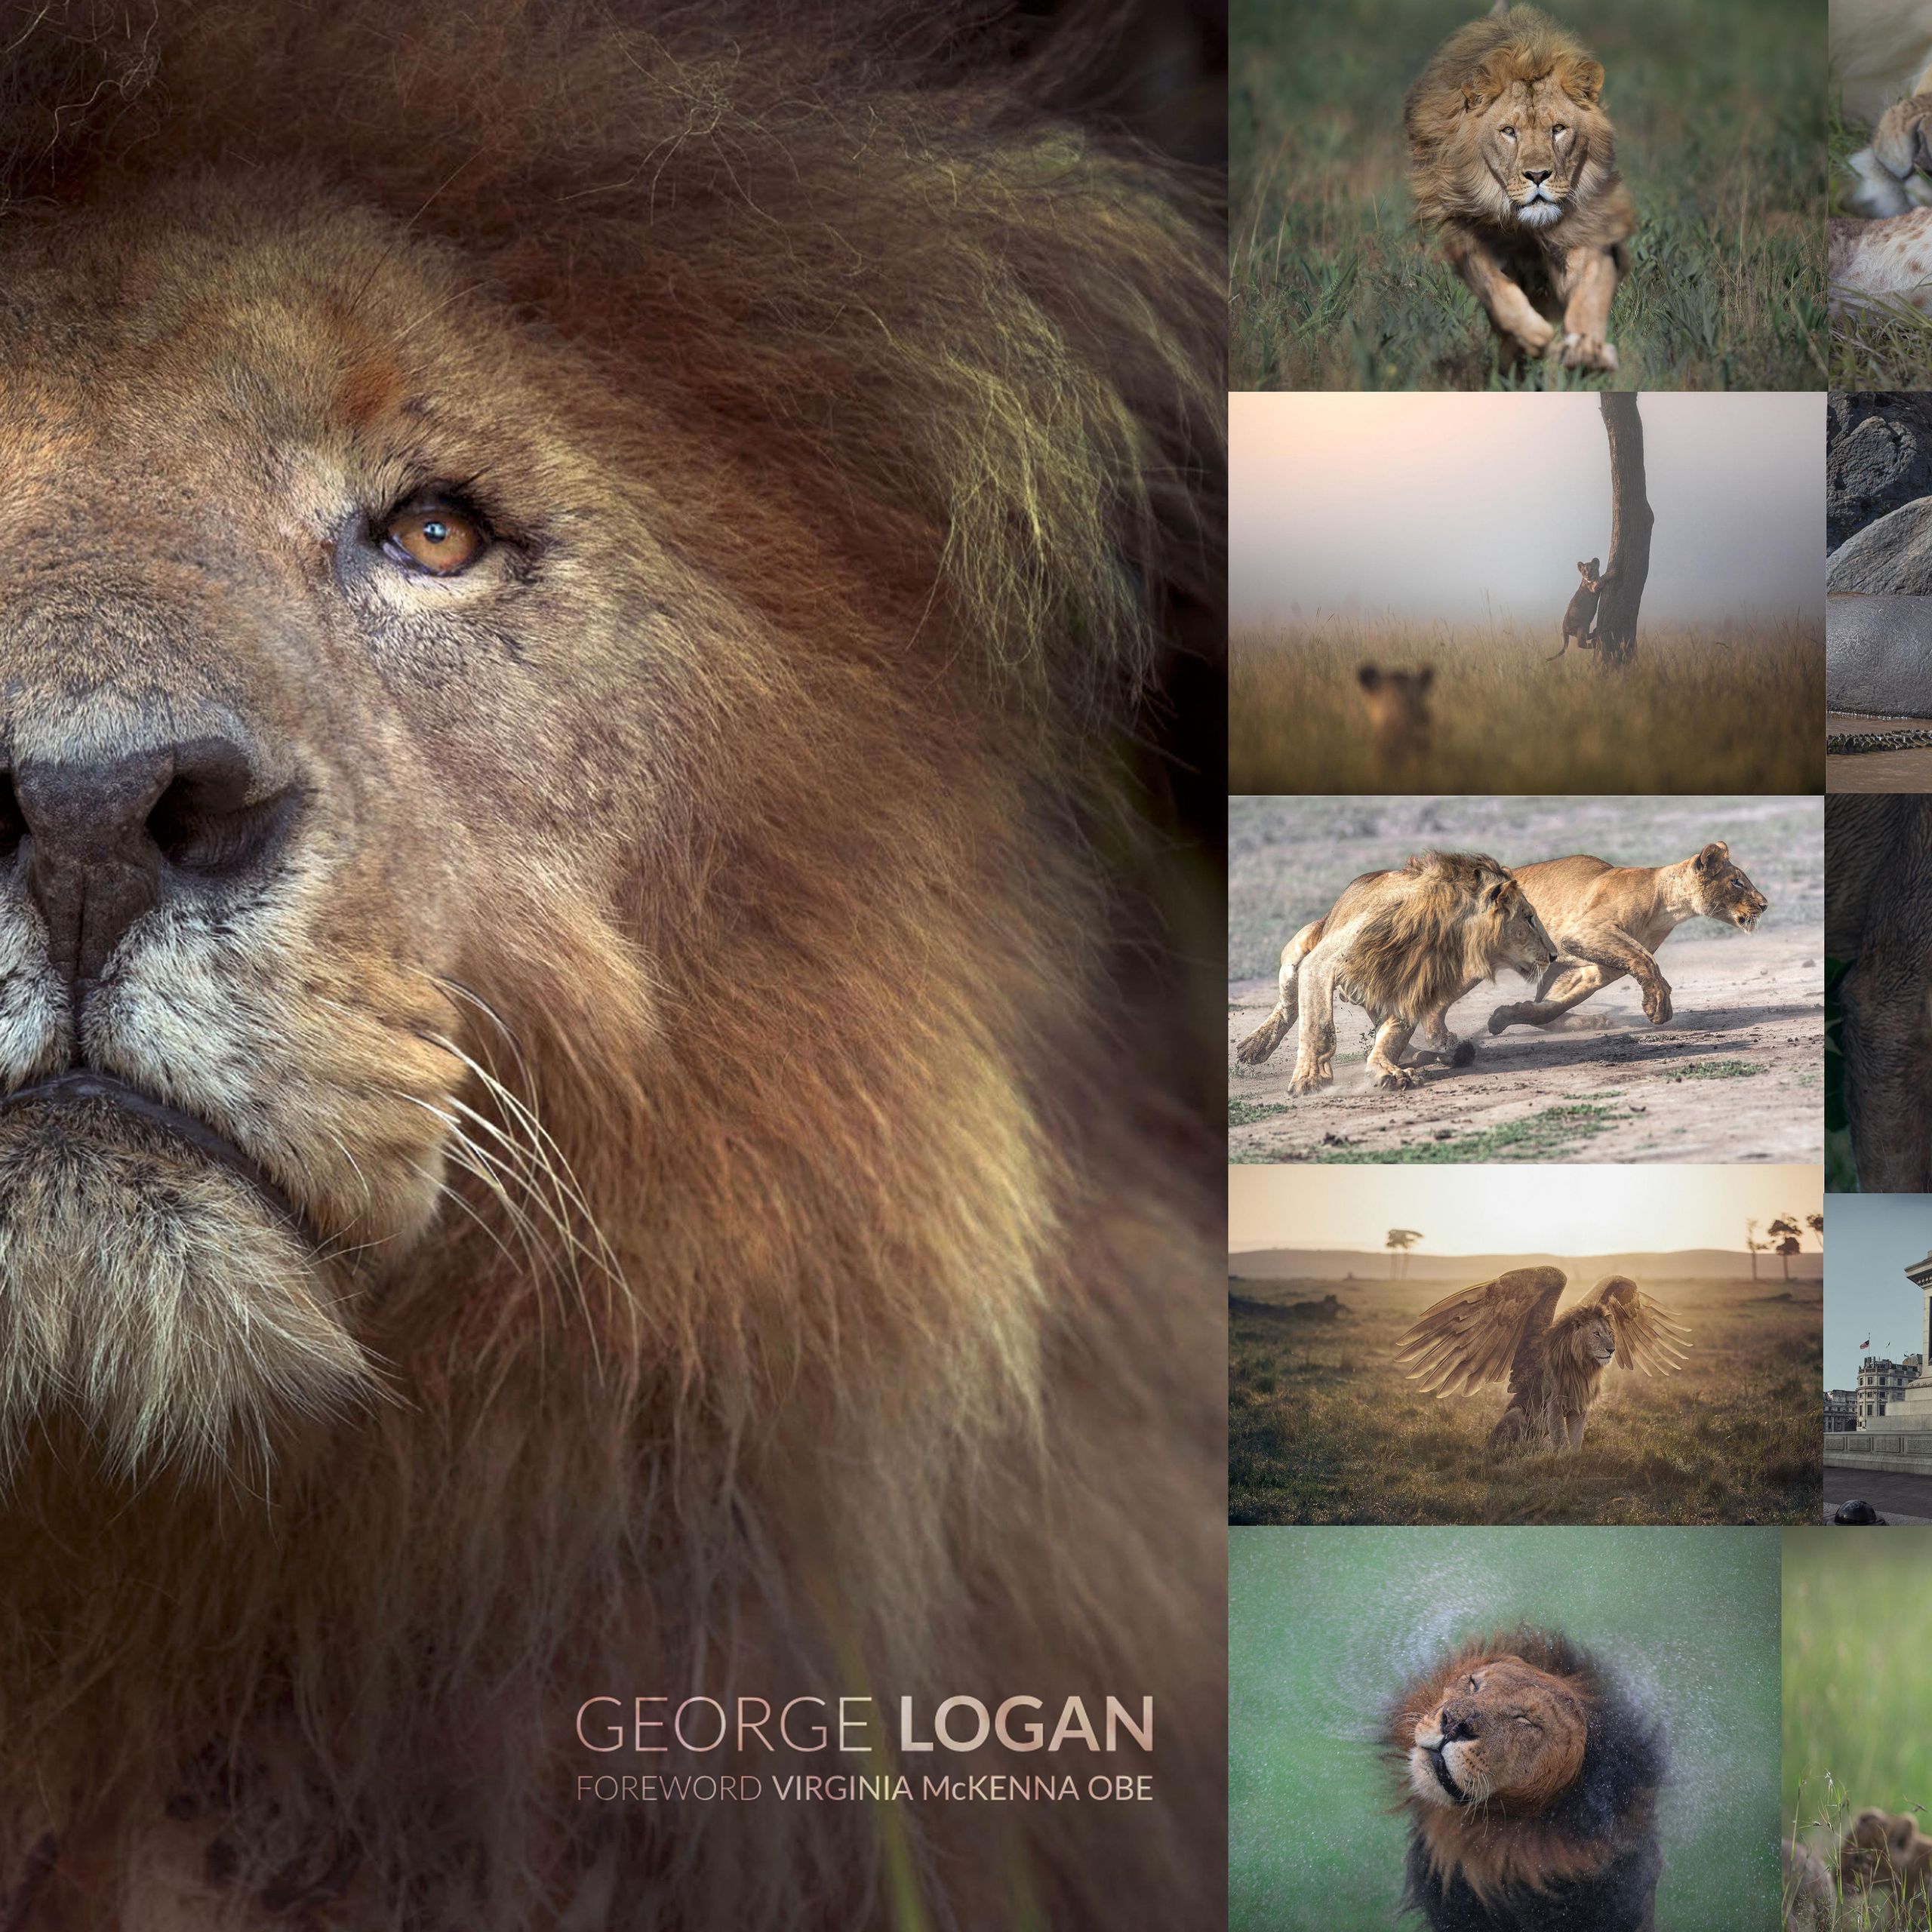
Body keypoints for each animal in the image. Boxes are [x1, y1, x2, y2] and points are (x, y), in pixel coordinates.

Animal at [1233, 852, 1559, 1092]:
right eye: (1528, 918)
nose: (1554, 955)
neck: (1438, 932)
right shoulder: (1322, 962)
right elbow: (1319, 1027)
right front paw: (1311, 1078)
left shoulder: (1410, 985)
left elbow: (1392, 1036)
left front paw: (1387, 1070)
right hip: (1301, 947)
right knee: (1288, 1005)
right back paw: (1255, 1046)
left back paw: (1442, 1052)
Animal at [1393, 1268, 1689, 1451]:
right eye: (1596, 1333)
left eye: (1610, 1333)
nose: (1611, 1350)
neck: (1581, 1365)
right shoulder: (1555, 1401)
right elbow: (1561, 1440)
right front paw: (1560, 1460)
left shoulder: (1580, 1404)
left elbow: (1576, 1441)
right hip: (1515, 1415)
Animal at [1403, 3, 1635, 372]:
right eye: (1509, 131)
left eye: (1558, 128)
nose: (1538, 175)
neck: (1525, 228)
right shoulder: (1465, 234)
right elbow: (1496, 289)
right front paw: (1533, 335)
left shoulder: (1588, 228)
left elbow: (1589, 290)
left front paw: (1587, 349)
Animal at [1485, 841, 1770, 1033]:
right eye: (1736, 882)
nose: (1765, 905)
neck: (1668, 907)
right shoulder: (1584, 931)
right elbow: (1647, 962)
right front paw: (1659, 1004)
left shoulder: (1600, 968)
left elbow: (1555, 1006)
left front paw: (1505, 1016)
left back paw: (1589, 1021)